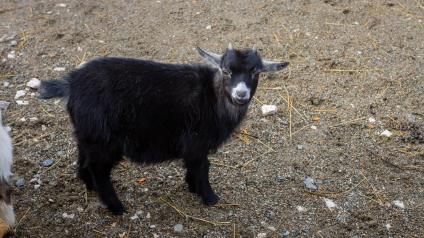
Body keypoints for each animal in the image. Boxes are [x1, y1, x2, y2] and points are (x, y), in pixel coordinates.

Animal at [39, 43, 288, 215]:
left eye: (256, 72)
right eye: (226, 71)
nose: (241, 94)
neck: (213, 97)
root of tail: (71, 84)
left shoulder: (195, 146)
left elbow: (197, 166)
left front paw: (193, 188)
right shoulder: (196, 142)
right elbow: (202, 168)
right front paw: (209, 197)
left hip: (88, 134)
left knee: (84, 160)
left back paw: (91, 188)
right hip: (104, 140)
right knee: (99, 168)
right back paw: (116, 206)